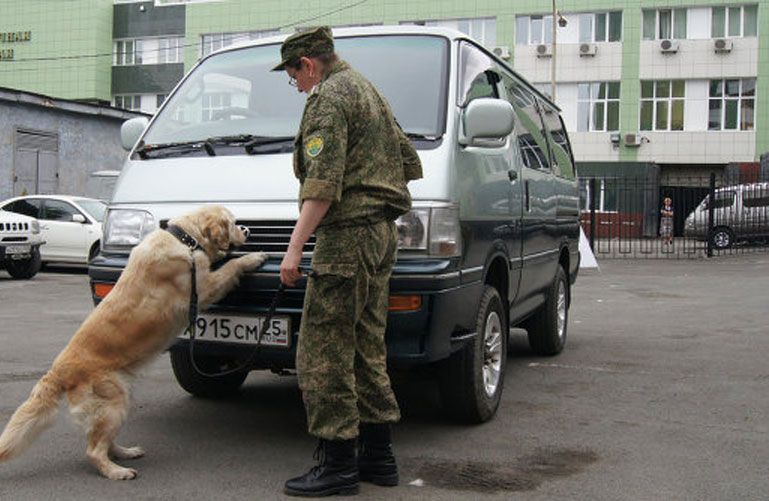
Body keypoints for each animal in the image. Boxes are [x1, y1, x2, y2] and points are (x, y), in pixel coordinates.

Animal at [0, 205, 268, 478]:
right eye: (233, 223)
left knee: (102, 441)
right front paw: (253, 257)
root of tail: (57, 371)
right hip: (113, 402)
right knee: (93, 450)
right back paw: (117, 472)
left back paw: (126, 452)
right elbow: (230, 266)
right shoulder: (203, 289)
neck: (184, 239)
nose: (247, 230)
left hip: (117, 403)